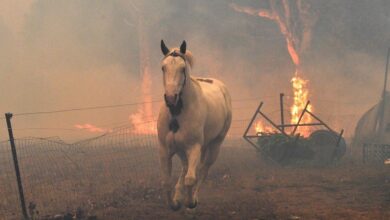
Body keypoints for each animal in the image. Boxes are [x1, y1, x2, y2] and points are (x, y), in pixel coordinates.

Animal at [157, 39, 232, 210]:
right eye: (163, 67)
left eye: (183, 68)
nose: (170, 98)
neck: (177, 114)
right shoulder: (165, 149)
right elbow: (166, 182)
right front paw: (174, 203)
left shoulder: (194, 147)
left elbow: (191, 178)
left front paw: (189, 202)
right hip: (183, 150)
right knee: (186, 168)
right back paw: (179, 195)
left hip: (214, 145)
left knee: (203, 170)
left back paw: (193, 197)